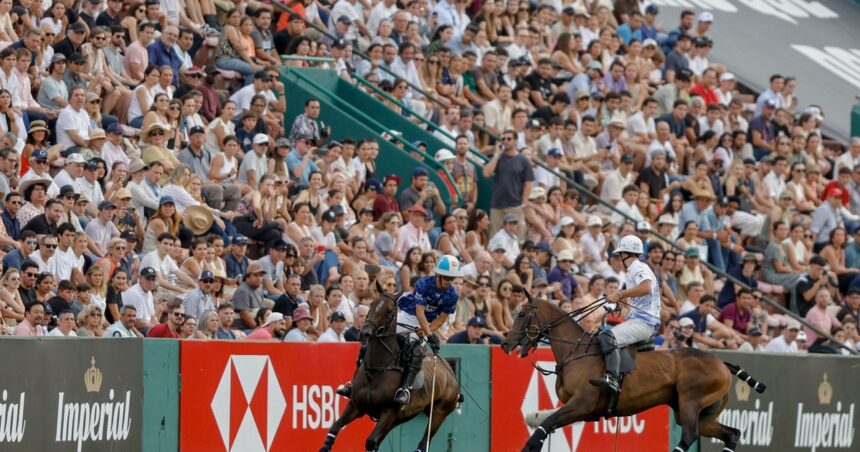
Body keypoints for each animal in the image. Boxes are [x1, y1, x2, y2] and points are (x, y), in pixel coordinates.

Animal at [318, 292, 464, 450]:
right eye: (372, 305)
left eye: (389, 311)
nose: (365, 332)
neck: (377, 369)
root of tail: (450, 372)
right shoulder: (355, 405)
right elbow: (334, 428)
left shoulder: (388, 411)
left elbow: (370, 442)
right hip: (401, 417)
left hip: (438, 413)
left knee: (423, 442)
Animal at [498, 296, 764, 452]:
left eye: (522, 314)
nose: (505, 344)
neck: (575, 351)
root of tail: (721, 362)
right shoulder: (581, 411)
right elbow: (547, 422)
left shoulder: (581, 404)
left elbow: (546, 424)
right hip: (701, 413)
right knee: (732, 434)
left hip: (691, 402)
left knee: (689, 435)